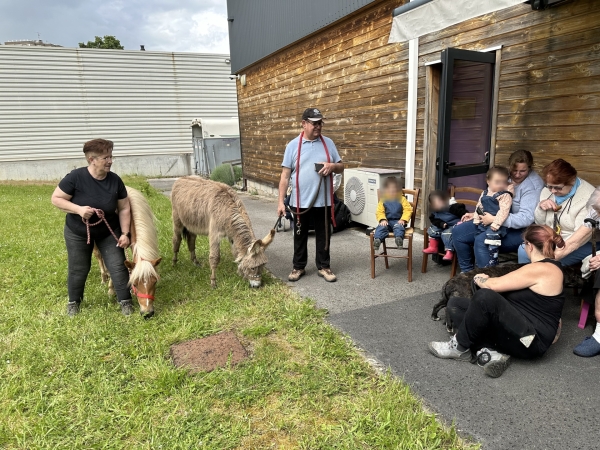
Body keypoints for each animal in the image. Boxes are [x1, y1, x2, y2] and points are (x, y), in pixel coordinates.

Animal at [94, 185, 161, 316]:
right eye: (134, 284)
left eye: (155, 282)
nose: (147, 313)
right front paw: (111, 290)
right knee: (99, 255)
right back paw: (104, 278)